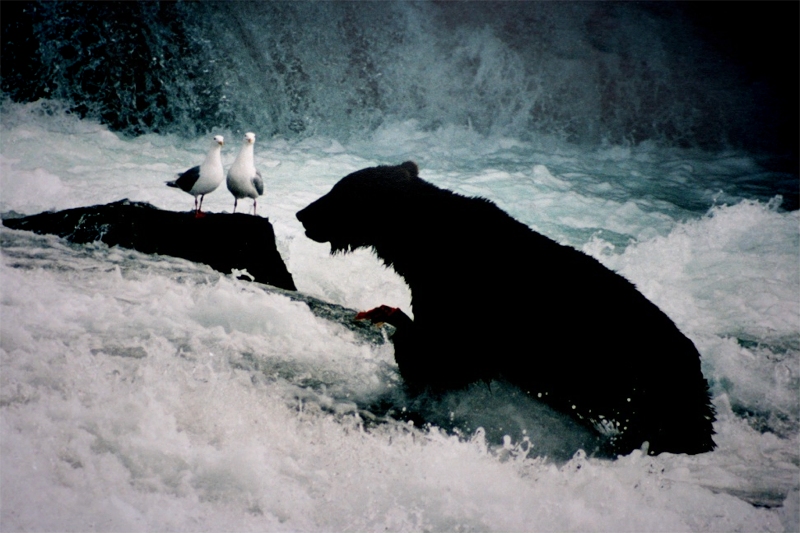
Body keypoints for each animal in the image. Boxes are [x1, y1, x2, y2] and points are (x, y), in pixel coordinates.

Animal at [296, 161, 716, 456]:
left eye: (337, 192)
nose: (302, 213)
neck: (424, 243)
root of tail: (693, 360)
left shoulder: (467, 296)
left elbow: (442, 353)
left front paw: (402, 338)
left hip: (640, 386)